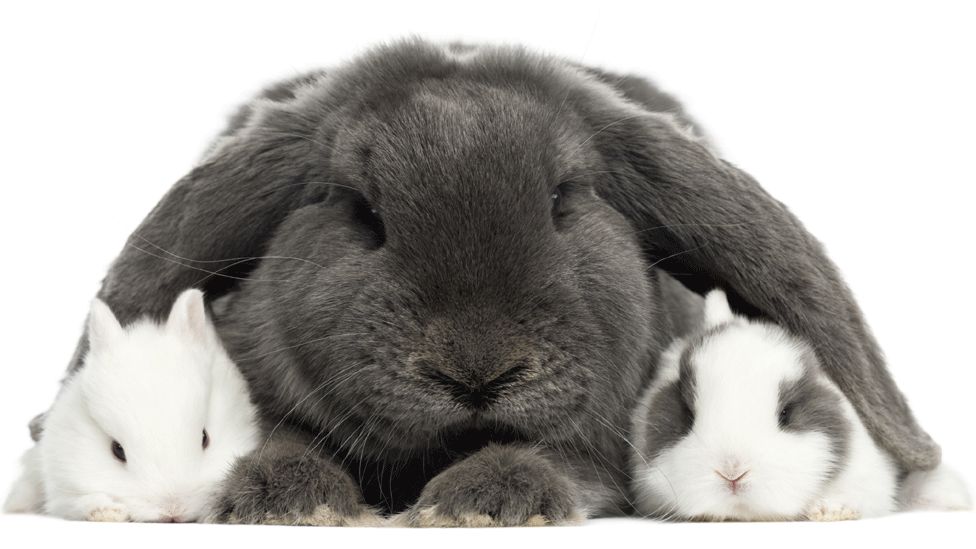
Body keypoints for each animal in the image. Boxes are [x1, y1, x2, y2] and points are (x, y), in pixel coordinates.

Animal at [4, 289, 260, 522]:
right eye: (117, 450)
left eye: (205, 438)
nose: (172, 511)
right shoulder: (62, 486)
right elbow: (78, 501)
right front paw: (106, 512)